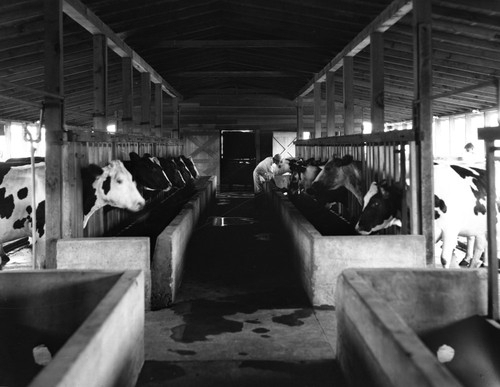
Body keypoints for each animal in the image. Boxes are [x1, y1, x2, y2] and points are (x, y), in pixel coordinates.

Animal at [356, 164, 492, 270]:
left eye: (375, 203)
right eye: (364, 200)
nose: (358, 226)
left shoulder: (450, 230)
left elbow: (444, 259)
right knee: (481, 244)